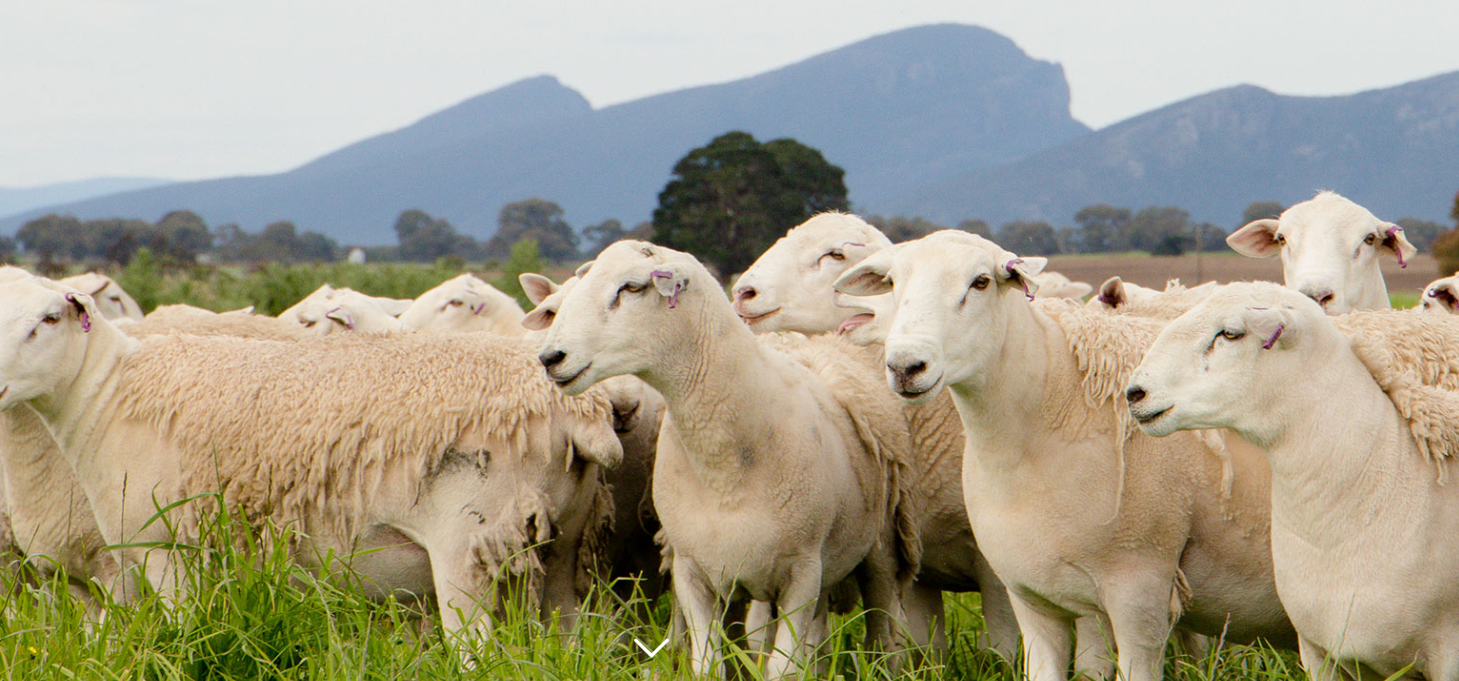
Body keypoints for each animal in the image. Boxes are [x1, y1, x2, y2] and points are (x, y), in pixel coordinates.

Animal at [536, 241, 920, 679]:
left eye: (631, 288)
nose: (550, 357)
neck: (724, 465)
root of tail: (818, 345)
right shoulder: (693, 573)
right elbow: (708, 665)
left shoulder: (802, 573)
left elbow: (781, 669)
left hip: (881, 548)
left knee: (884, 630)